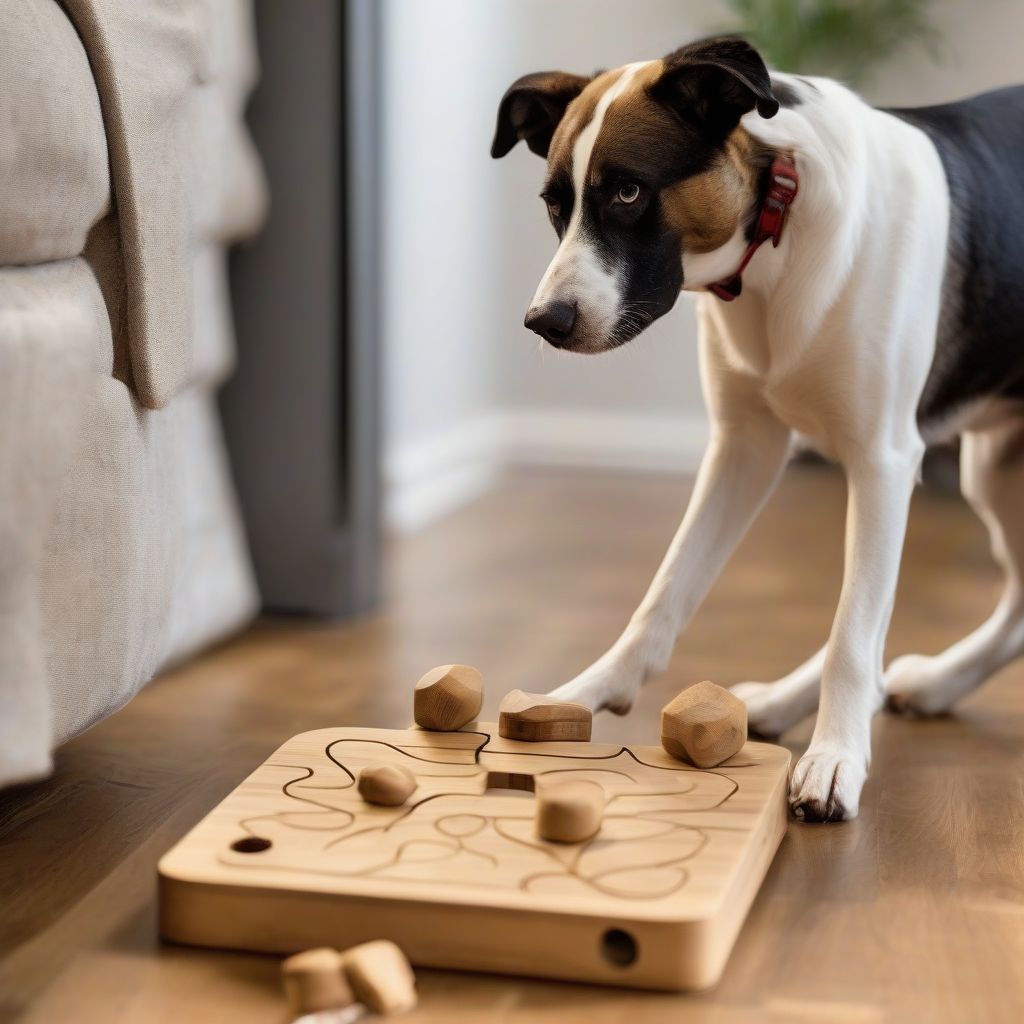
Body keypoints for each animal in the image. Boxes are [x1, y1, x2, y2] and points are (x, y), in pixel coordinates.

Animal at [487, 36, 1024, 819]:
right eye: (557, 204)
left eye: (627, 193)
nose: (544, 322)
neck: (778, 234)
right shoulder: (745, 448)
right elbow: (666, 590)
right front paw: (586, 693)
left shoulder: (883, 461)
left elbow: (853, 630)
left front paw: (836, 756)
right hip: (996, 470)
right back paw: (901, 686)